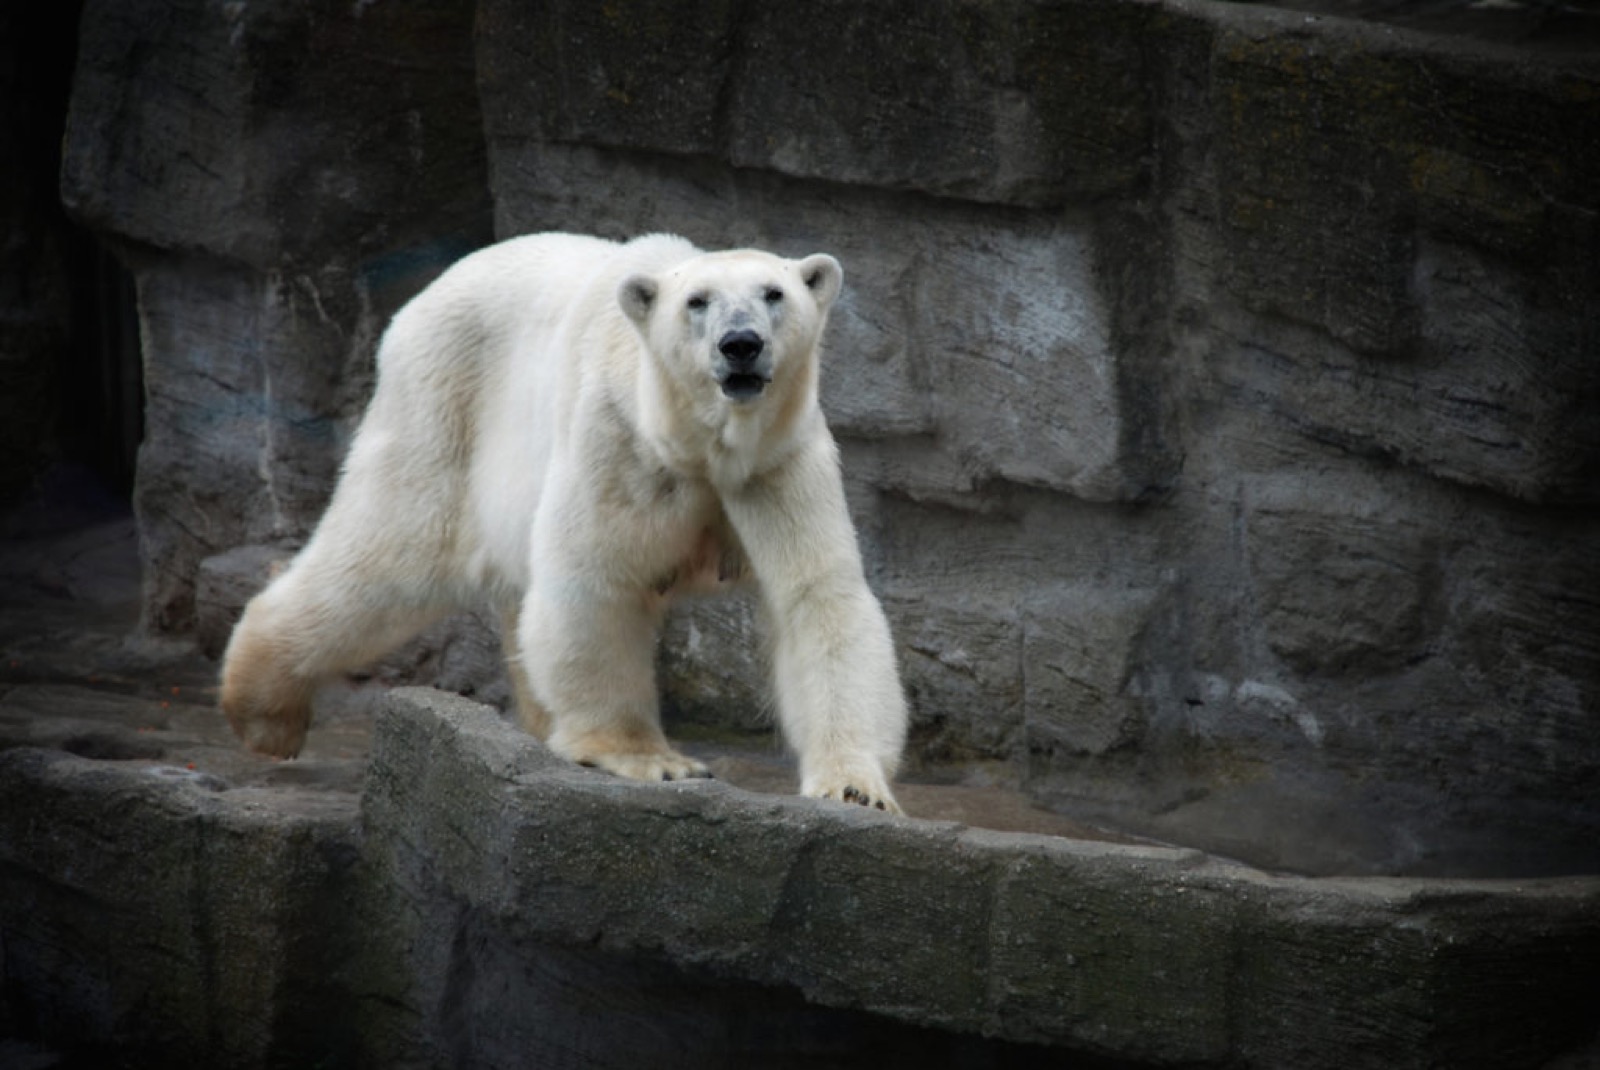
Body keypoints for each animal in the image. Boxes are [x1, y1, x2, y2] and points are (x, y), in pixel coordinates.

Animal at [219, 231, 908, 809]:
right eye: (698, 301)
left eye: (774, 293)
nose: (741, 344)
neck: (695, 444)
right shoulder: (618, 441)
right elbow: (594, 582)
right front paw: (651, 760)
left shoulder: (778, 464)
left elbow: (819, 599)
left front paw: (854, 788)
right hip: (443, 408)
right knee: (388, 557)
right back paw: (266, 713)